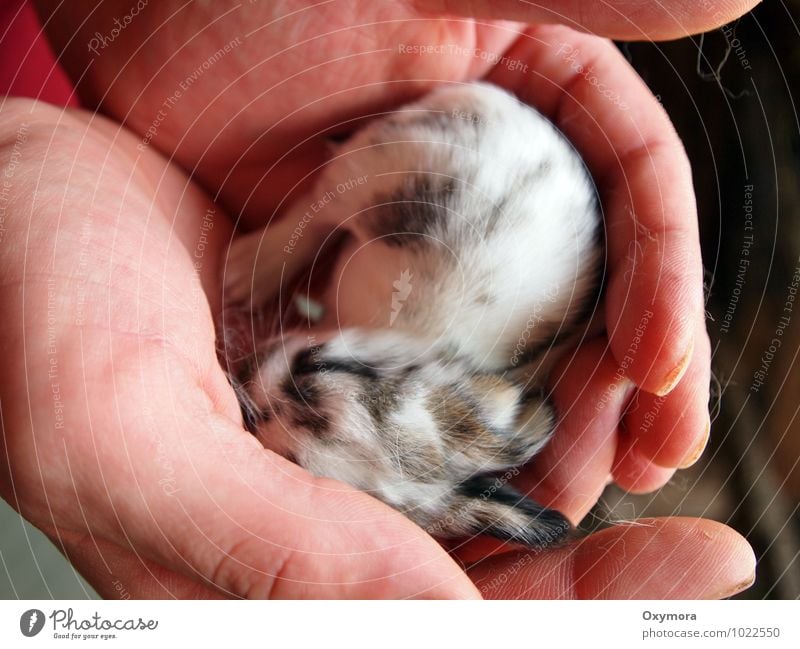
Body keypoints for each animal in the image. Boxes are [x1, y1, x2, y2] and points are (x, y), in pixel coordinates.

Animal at [222, 81, 604, 548]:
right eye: (318, 363)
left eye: (291, 457)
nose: (245, 371)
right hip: (369, 172)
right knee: (319, 208)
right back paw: (245, 272)